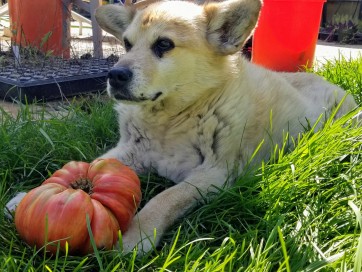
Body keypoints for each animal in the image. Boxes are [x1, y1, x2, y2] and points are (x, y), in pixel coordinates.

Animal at [5, 0, 356, 255]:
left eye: (164, 44)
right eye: (127, 44)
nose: (114, 75)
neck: (172, 120)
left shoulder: (213, 176)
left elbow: (164, 198)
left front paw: (136, 235)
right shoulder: (128, 152)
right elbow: (90, 165)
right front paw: (31, 193)